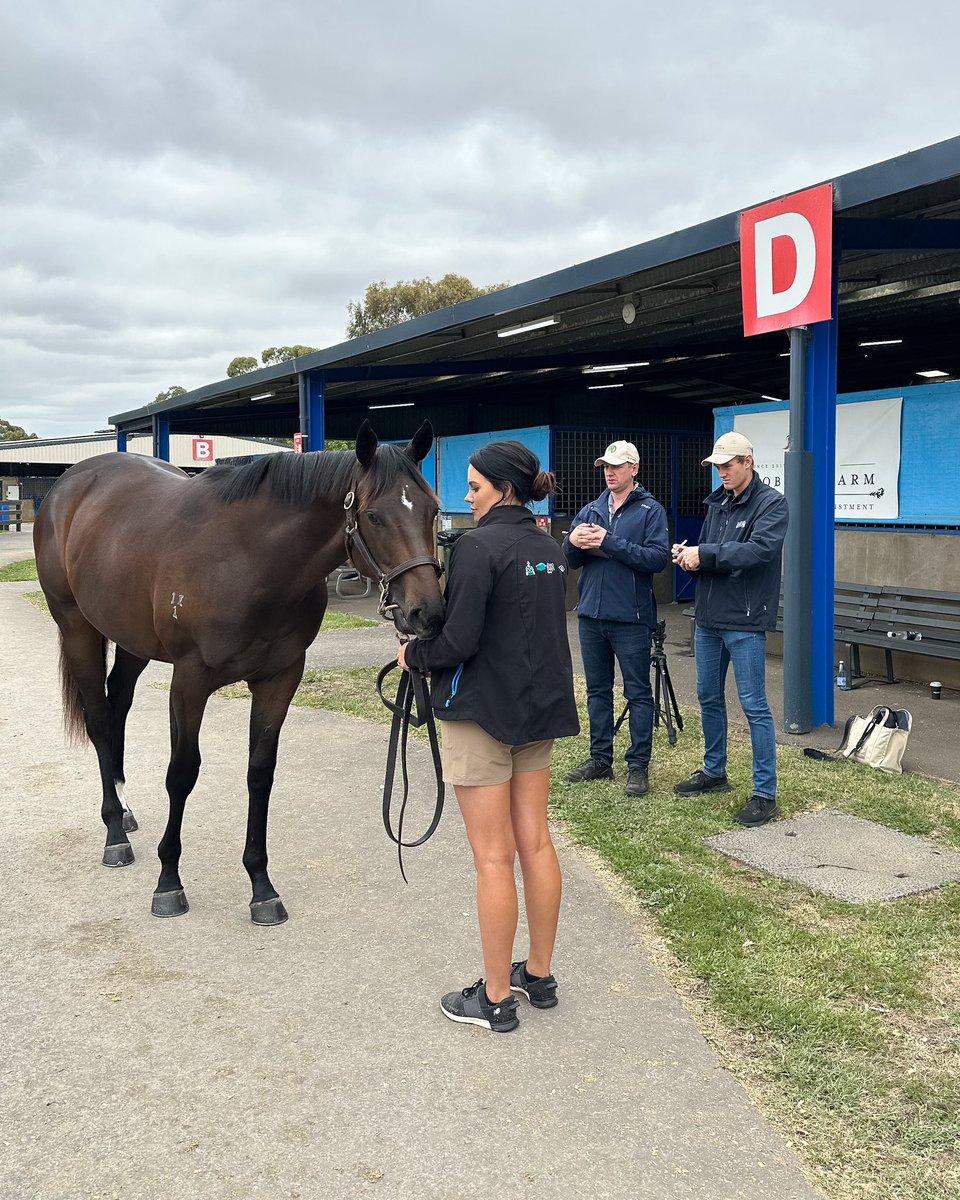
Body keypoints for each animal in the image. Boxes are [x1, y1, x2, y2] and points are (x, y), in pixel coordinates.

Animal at [32, 422, 446, 926]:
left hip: (131, 641)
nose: (426, 613)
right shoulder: (189, 682)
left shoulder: (280, 678)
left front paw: (261, 886)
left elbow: (259, 773)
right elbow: (182, 773)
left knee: (118, 706)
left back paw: (126, 810)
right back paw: (115, 832)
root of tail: (69, 485)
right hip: (77, 628)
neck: (250, 559)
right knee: (97, 718)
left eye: (432, 508)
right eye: (374, 516)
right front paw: (168, 881)